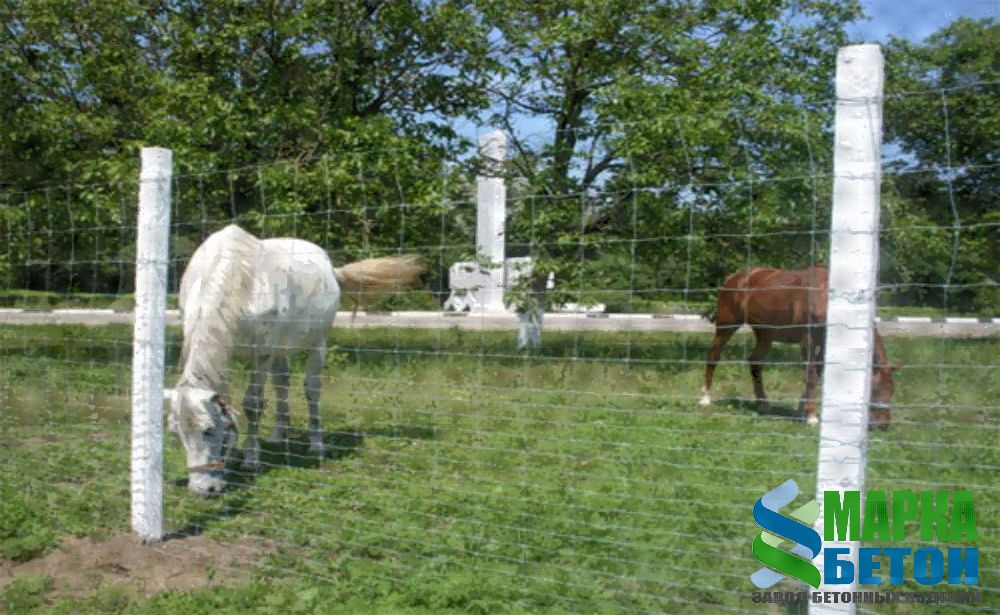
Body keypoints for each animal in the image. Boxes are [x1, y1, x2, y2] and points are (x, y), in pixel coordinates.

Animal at [166, 224, 424, 498]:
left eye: (209, 430)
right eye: (176, 435)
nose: (203, 490)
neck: (239, 279)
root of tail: (331, 269)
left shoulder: (262, 353)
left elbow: (253, 404)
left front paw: (251, 458)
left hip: (317, 344)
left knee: (312, 390)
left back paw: (316, 444)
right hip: (282, 350)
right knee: (282, 384)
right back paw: (279, 435)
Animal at [696, 268, 900, 430]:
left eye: (892, 391)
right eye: (875, 390)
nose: (883, 424)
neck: (824, 297)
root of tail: (733, 278)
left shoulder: (824, 344)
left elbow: (818, 373)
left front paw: (802, 409)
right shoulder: (808, 341)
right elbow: (810, 375)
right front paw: (811, 416)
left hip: (765, 334)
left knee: (755, 361)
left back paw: (763, 404)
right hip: (726, 325)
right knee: (713, 355)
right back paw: (705, 398)